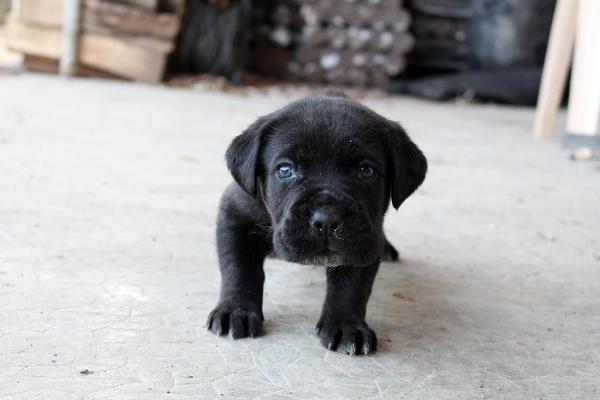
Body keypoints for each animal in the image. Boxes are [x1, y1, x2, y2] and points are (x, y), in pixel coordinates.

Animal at [207, 92, 426, 354]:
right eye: (285, 170)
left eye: (366, 171)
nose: (327, 218)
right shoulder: (235, 215)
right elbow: (239, 267)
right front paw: (236, 311)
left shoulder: (364, 239)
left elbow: (351, 285)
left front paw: (347, 326)